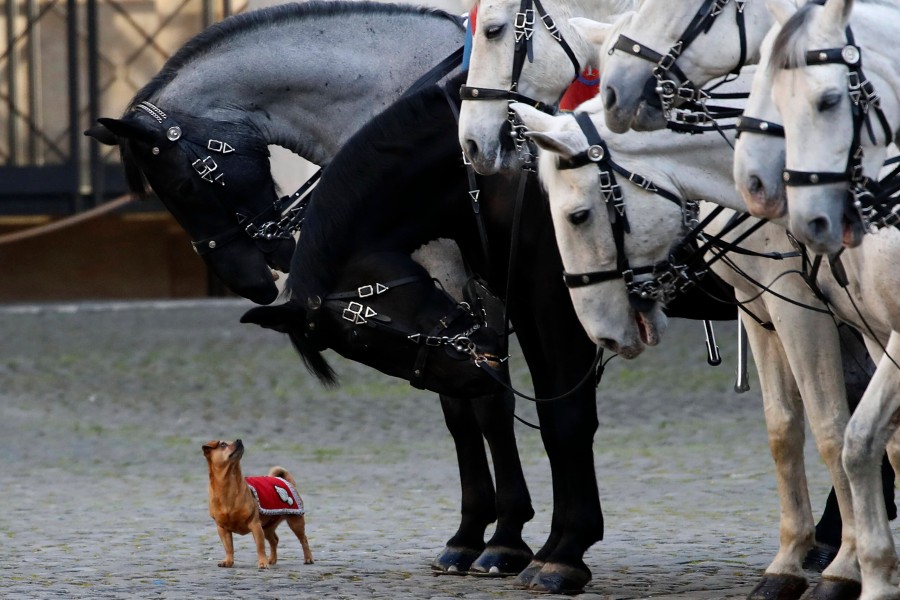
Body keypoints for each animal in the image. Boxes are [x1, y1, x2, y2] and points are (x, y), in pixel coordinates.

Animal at [202, 438, 314, 568]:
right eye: (223, 444)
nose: (239, 440)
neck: (228, 487)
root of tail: (284, 480)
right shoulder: (222, 529)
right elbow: (228, 547)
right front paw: (228, 561)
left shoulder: (255, 525)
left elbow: (260, 547)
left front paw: (262, 563)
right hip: (267, 527)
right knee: (274, 540)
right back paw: (272, 560)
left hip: (295, 522)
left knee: (303, 539)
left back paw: (308, 558)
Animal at [512, 96, 864, 600]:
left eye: (578, 216)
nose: (602, 335)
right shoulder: (761, 302)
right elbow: (784, 429)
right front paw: (787, 566)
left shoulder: (801, 304)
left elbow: (833, 429)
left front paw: (844, 568)